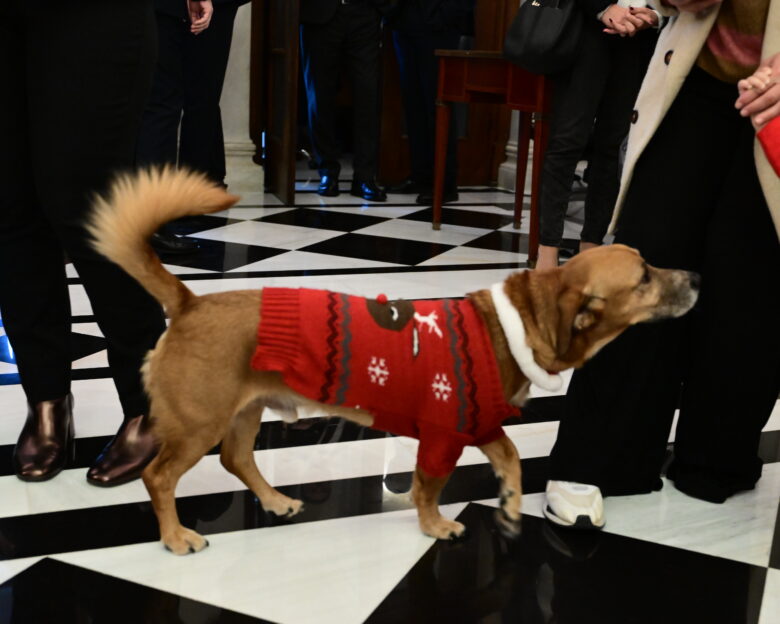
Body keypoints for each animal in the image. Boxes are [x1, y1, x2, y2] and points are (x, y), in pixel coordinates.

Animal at [88, 168, 696, 552]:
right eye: (644, 277)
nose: (695, 276)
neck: (515, 322)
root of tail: (189, 302)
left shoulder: (481, 425)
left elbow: (511, 459)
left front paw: (510, 503)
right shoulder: (444, 437)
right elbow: (429, 487)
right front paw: (435, 525)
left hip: (244, 411)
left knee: (238, 460)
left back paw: (275, 501)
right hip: (199, 423)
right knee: (160, 477)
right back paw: (174, 537)